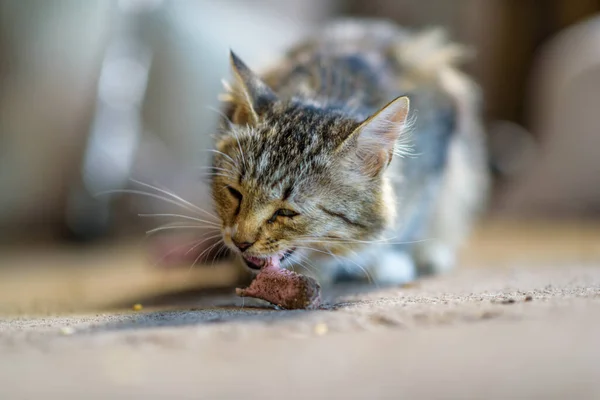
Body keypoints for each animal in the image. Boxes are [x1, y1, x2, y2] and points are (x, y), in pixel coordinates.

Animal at [210, 18, 488, 286]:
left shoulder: (436, 162)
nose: (240, 242)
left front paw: (382, 261)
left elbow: (414, 218)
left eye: (287, 212)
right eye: (234, 193)